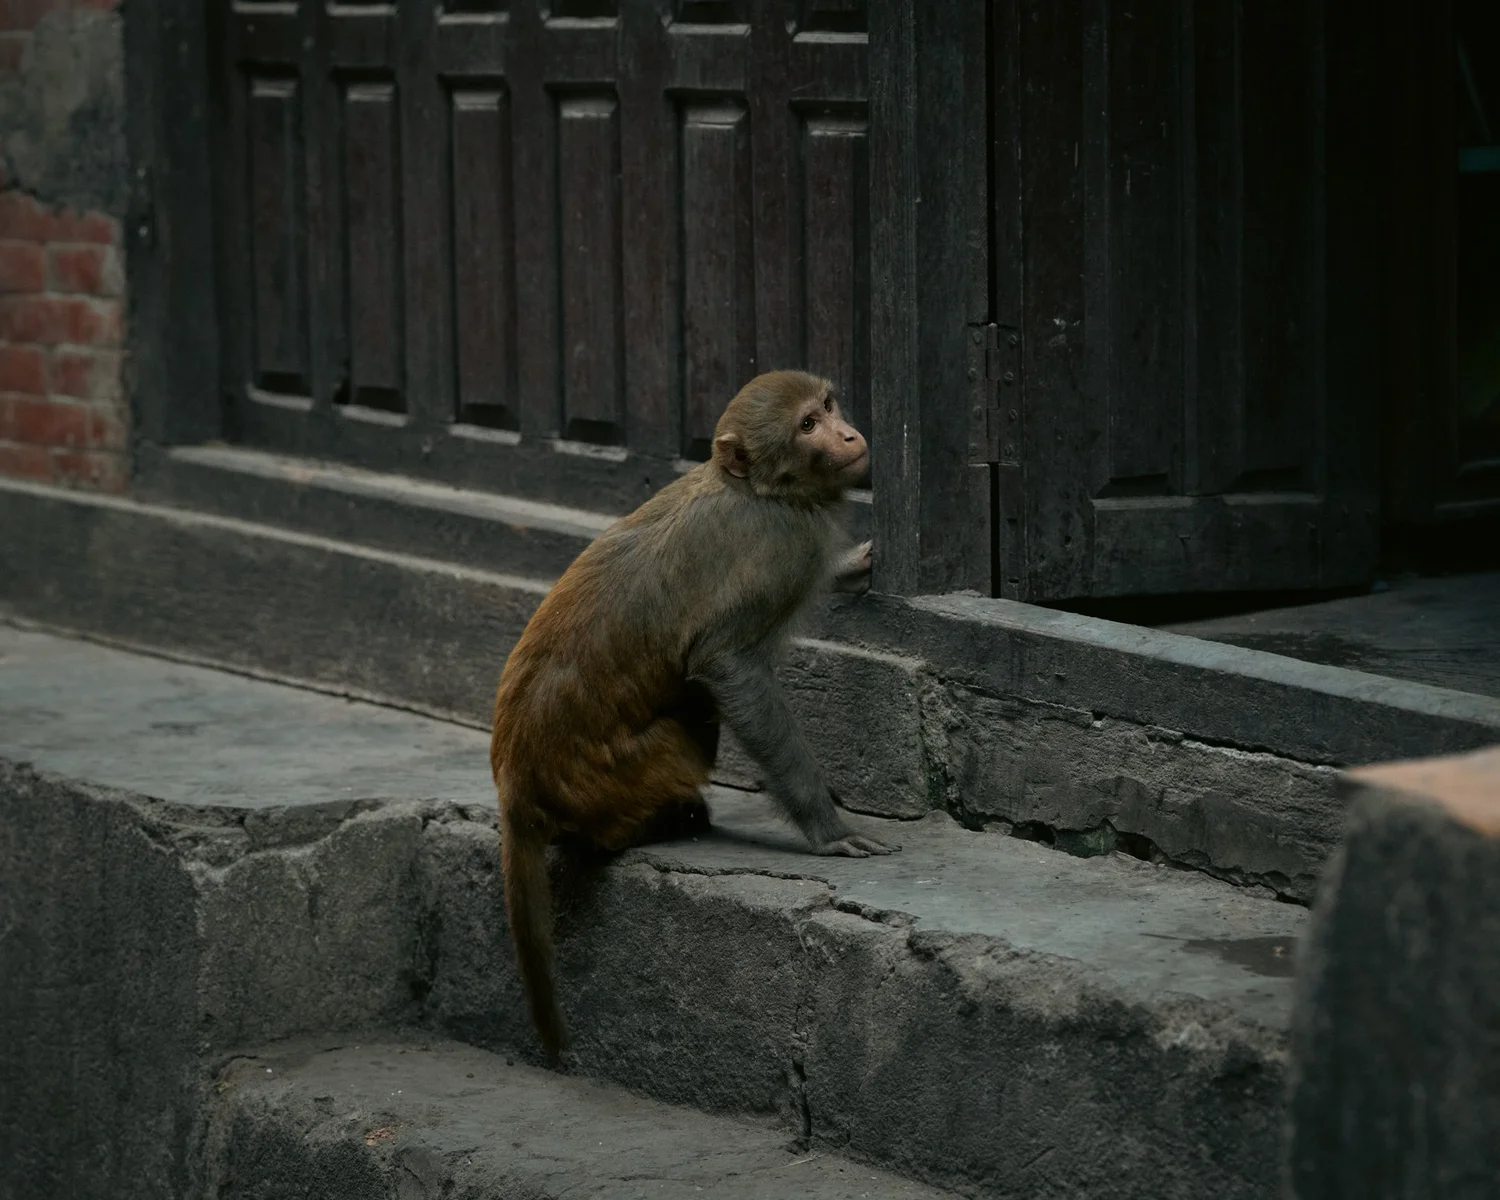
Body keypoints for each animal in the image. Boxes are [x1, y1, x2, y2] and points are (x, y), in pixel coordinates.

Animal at [490, 369, 899, 1058]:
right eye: (807, 426)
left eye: (828, 406)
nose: (848, 434)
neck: (758, 489)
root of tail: (515, 783)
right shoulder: (783, 546)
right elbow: (725, 665)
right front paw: (826, 826)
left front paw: (852, 564)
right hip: (623, 771)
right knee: (698, 719)